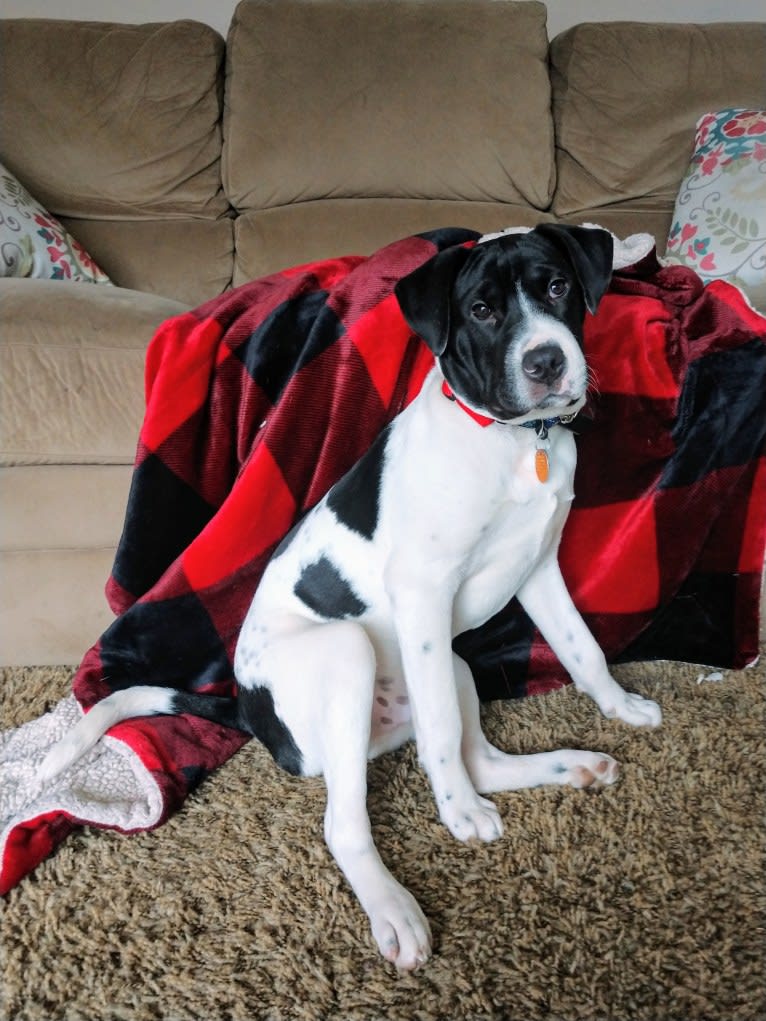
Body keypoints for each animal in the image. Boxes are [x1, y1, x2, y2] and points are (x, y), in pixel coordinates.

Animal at [41, 225, 661, 971]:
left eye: (559, 287)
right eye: (482, 310)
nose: (546, 360)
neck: (509, 441)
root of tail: (252, 711)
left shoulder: (539, 566)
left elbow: (583, 648)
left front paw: (621, 707)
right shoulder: (424, 592)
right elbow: (445, 735)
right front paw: (455, 812)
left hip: (449, 665)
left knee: (472, 755)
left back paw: (572, 766)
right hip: (348, 651)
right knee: (349, 817)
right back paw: (395, 905)